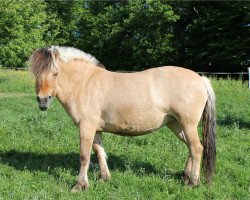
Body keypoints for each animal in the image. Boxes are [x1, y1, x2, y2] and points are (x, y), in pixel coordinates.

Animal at [29, 46, 216, 191]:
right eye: (35, 74)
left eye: (55, 73)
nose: (43, 100)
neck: (84, 83)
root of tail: (200, 79)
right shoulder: (96, 129)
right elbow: (99, 152)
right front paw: (104, 178)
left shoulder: (86, 126)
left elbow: (84, 155)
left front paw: (80, 185)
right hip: (176, 124)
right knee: (191, 147)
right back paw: (186, 176)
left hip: (187, 124)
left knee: (197, 148)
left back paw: (192, 182)